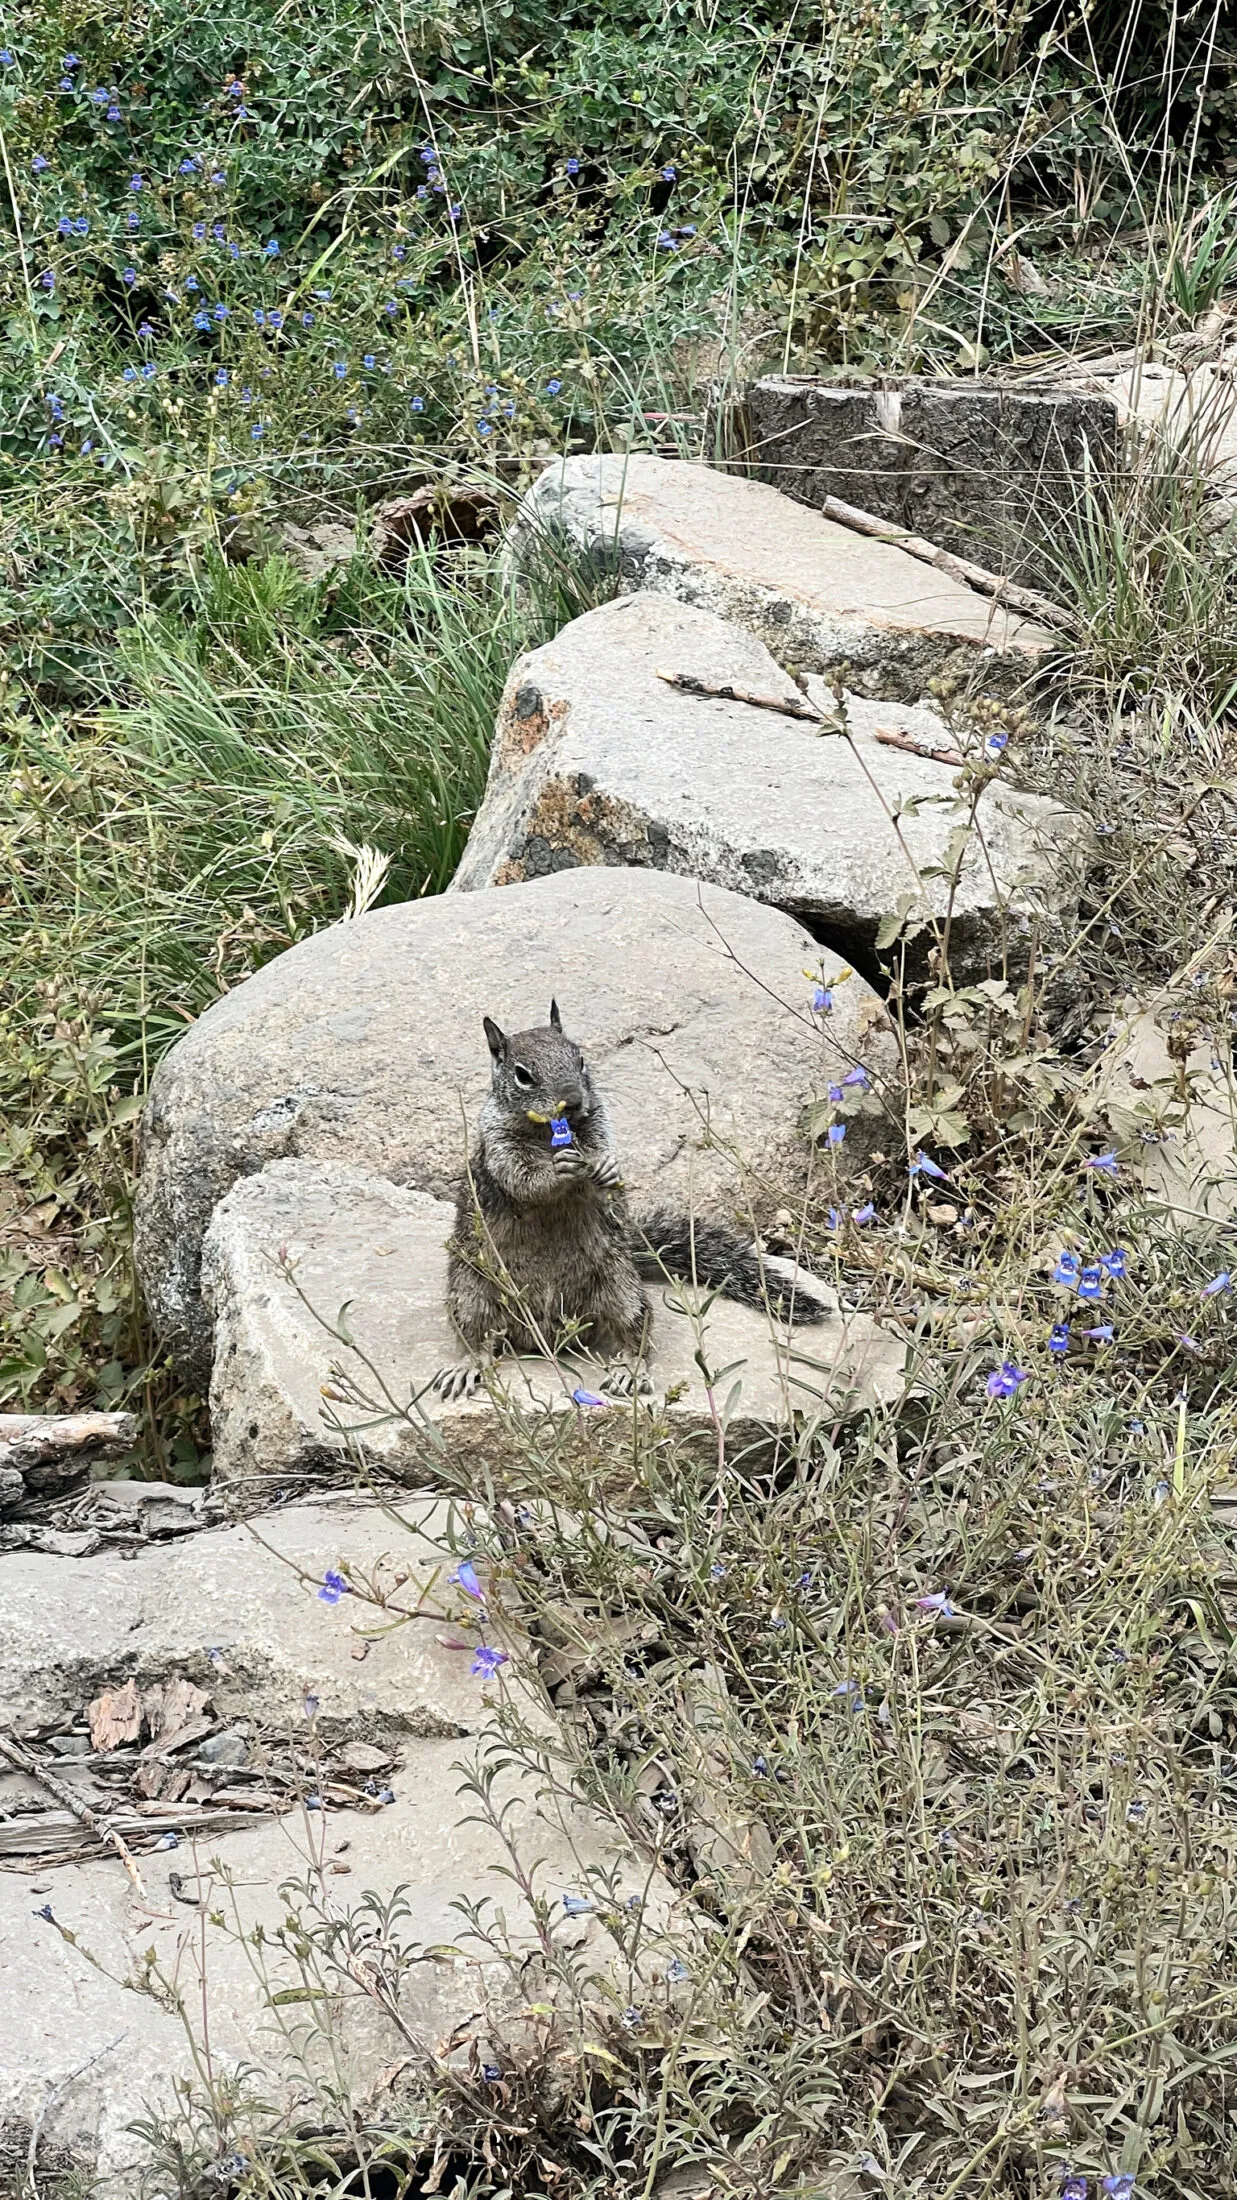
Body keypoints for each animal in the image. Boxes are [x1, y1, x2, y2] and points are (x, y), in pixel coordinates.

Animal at [435, 1000, 830, 1399]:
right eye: (522, 1075)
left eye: (580, 1059)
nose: (573, 1101)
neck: (547, 1135)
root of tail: (548, 1336)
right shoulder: (497, 1144)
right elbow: (521, 1178)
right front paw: (557, 1171)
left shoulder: (600, 1123)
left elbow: (605, 1157)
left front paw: (607, 1167)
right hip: (471, 1292)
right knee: (478, 1339)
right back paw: (466, 1368)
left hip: (621, 1287)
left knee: (635, 1333)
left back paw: (629, 1371)